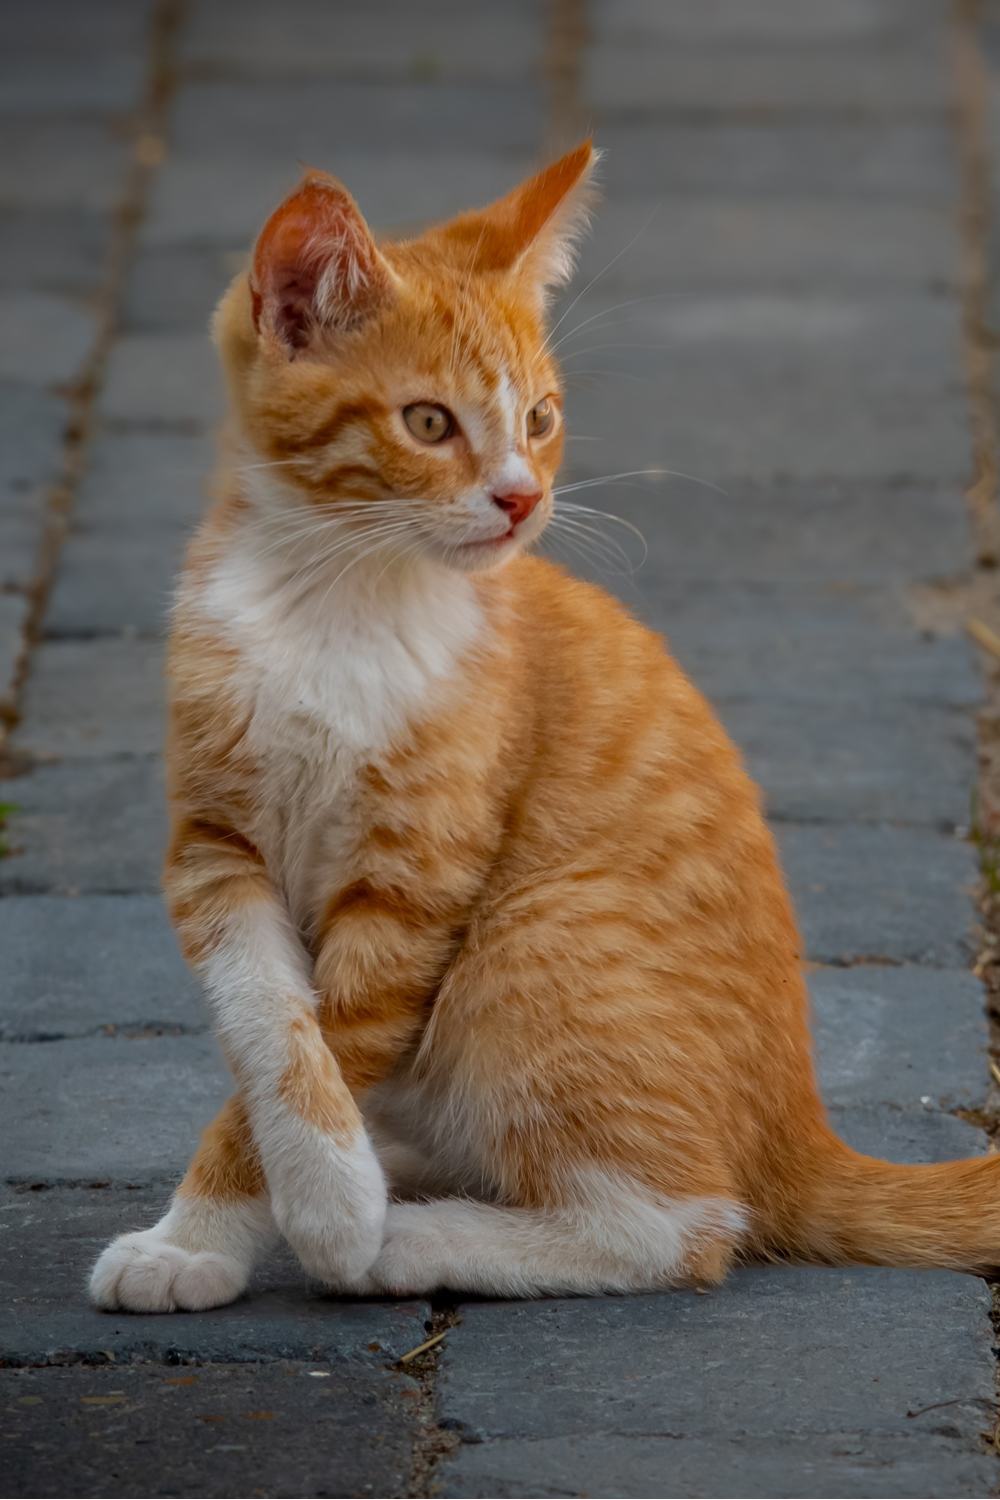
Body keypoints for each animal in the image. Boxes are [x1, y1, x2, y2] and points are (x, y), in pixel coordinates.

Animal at [91, 143, 995, 1314]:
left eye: (540, 420)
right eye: (429, 422)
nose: (522, 501)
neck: (339, 603)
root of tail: (796, 1130)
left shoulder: (417, 881)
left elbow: (328, 1034)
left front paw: (320, 1213)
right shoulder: (214, 848)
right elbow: (265, 1023)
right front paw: (205, 1231)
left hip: (534, 941)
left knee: (681, 1224)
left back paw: (418, 1235)